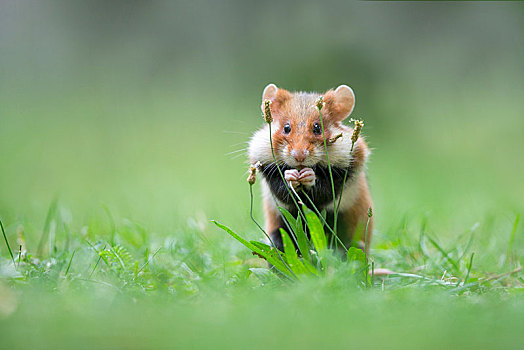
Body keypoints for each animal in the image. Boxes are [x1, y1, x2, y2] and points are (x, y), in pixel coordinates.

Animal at [249, 82, 372, 252]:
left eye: (317, 128)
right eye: (286, 128)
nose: (299, 157)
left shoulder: (344, 173)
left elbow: (324, 189)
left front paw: (308, 175)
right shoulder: (268, 171)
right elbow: (281, 188)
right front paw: (292, 176)